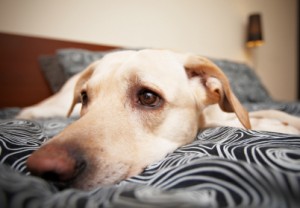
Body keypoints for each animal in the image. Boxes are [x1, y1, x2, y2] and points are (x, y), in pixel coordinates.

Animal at [18, 49, 300, 190]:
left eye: (148, 97)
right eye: (85, 98)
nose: (44, 168)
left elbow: (270, 113)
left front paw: (286, 120)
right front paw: (280, 127)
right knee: (32, 111)